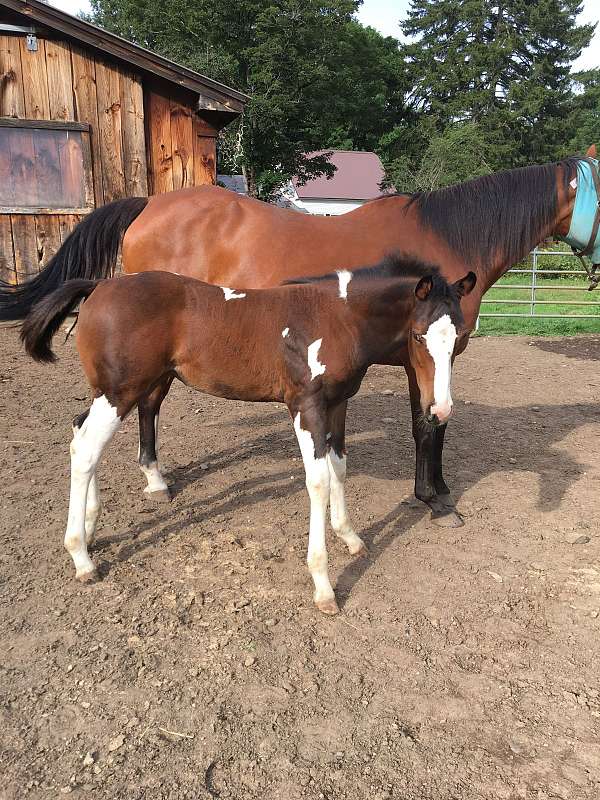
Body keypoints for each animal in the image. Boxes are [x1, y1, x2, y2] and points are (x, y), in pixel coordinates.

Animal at [4, 147, 598, 526]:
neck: (444, 239)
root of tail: (148, 203)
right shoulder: (419, 360)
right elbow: (428, 424)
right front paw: (433, 498)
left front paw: (438, 490)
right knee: (142, 407)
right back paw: (152, 481)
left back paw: (151, 480)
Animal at [20, 254, 476, 614]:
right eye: (418, 335)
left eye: (459, 338)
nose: (440, 409)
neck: (337, 316)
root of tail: (99, 286)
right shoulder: (306, 406)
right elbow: (318, 482)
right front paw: (324, 586)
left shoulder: (338, 403)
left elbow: (340, 468)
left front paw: (351, 538)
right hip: (121, 392)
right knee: (86, 448)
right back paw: (81, 557)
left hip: (113, 392)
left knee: (81, 434)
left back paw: (91, 529)